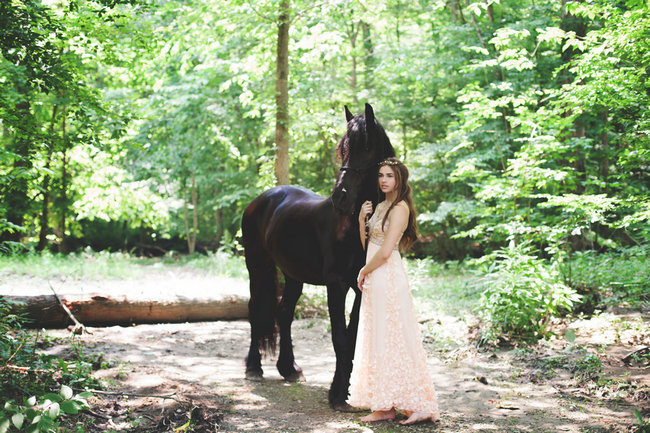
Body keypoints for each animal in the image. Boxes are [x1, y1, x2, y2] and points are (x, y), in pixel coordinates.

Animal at [240, 102, 392, 408]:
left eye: (367, 147)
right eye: (343, 148)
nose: (340, 197)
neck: (354, 227)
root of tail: (261, 199)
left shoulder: (361, 285)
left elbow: (352, 334)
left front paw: (348, 390)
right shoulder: (336, 285)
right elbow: (340, 338)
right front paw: (337, 393)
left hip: (293, 275)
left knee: (284, 313)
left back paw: (289, 368)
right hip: (256, 265)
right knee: (255, 309)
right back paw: (254, 367)